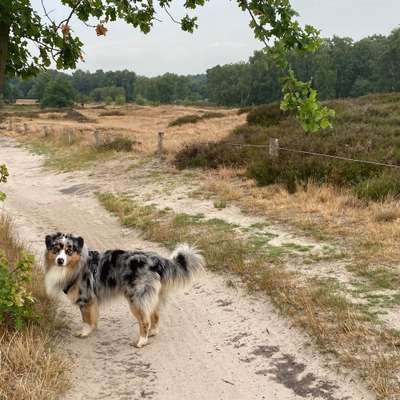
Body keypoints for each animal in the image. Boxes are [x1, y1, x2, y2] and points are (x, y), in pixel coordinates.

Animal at [44, 234, 203, 346]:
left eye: (69, 251)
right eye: (56, 249)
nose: (60, 260)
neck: (77, 265)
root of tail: (156, 261)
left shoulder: (85, 299)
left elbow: (86, 319)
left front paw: (84, 333)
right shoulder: (92, 301)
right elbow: (93, 317)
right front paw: (92, 329)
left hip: (136, 299)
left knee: (145, 321)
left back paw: (141, 341)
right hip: (152, 297)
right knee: (155, 315)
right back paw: (152, 333)